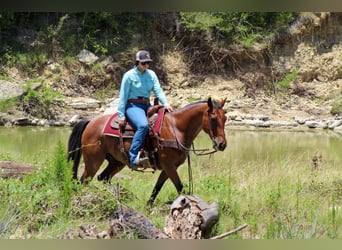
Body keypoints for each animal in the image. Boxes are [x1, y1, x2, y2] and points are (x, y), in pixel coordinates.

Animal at [67, 97, 227, 205]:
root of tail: (91, 122)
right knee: (84, 181)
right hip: (93, 162)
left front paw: (148, 207)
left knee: (104, 178)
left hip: (117, 162)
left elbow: (157, 187)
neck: (176, 128)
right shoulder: (169, 166)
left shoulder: (169, 168)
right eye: (213, 119)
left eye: (225, 118)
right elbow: (180, 187)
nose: (222, 144)